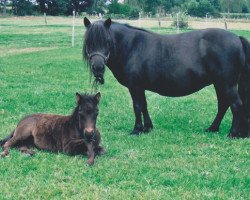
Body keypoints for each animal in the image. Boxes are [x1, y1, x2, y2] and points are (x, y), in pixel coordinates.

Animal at [82, 17, 250, 138]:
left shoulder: (134, 86)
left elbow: (137, 106)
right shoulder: (140, 87)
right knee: (223, 105)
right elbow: (144, 105)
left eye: (107, 41)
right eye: (88, 42)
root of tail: (237, 38)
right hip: (219, 83)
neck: (132, 46)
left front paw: (137, 130)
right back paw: (212, 128)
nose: (98, 67)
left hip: (227, 84)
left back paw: (232, 134)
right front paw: (147, 128)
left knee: (236, 105)